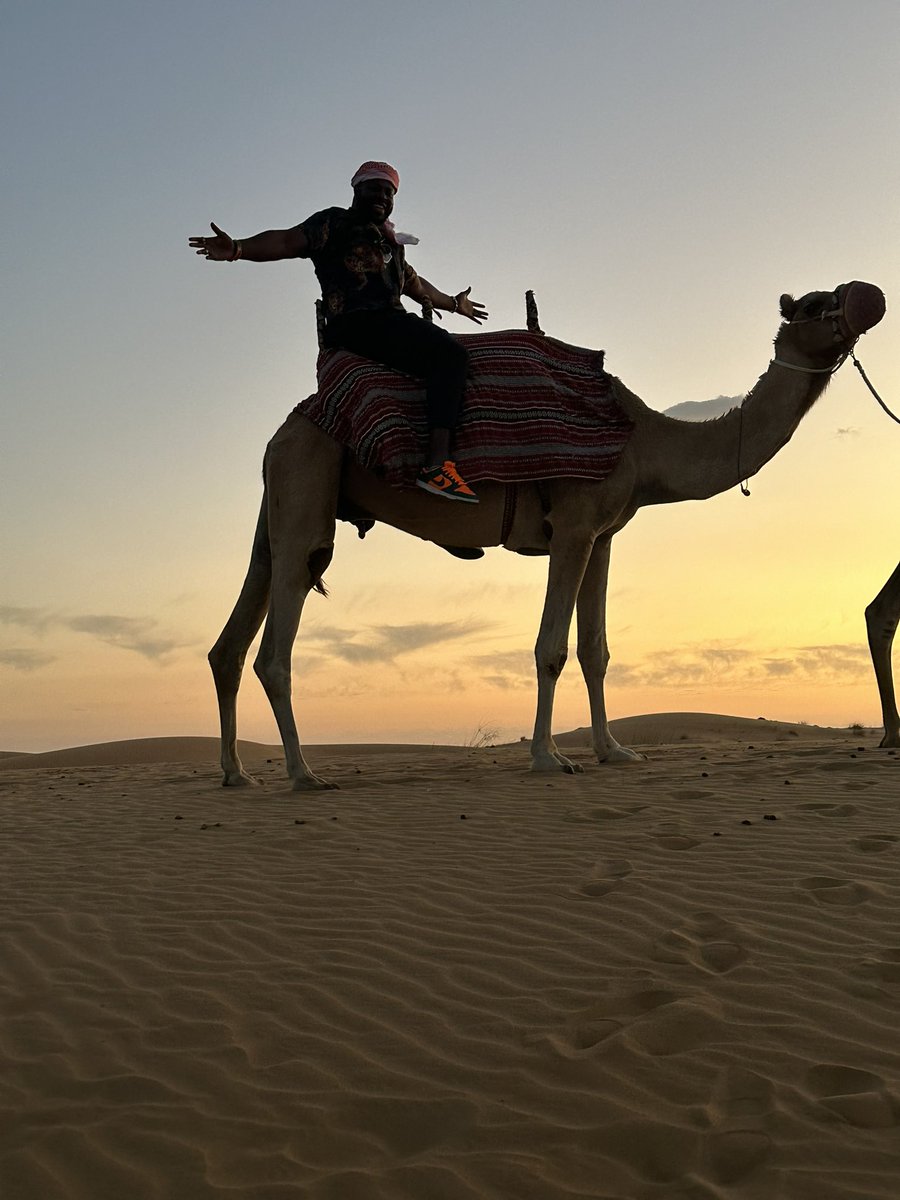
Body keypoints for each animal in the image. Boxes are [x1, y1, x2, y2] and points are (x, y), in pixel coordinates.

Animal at [210, 278, 888, 787]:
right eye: (813, 304)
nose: (866, 297)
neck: (643, 441)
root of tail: (288, 426)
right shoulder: (573, 527)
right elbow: (552, 648)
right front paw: (548, 757)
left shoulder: (605, 536)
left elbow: (596, 650)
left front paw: (615, 751)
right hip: (307, 488)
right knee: (276, 645)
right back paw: (303, 774)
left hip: (278, 505)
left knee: (231, 643)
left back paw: (238, 774)